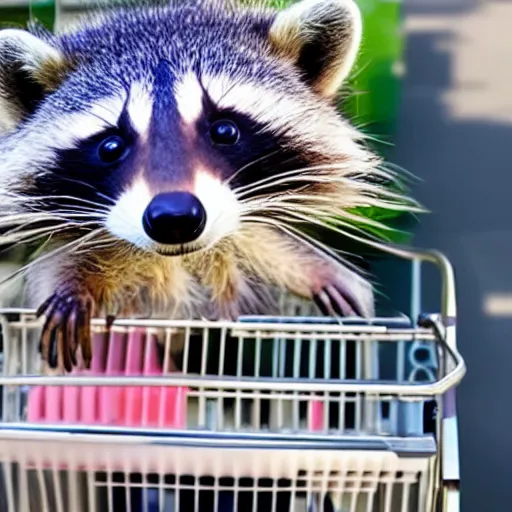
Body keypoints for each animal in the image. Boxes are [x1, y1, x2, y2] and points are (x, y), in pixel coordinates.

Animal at [0, 0, 418, 370]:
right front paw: (71, 283)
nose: (174, 218)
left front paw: (314, 268)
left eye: (225, 130)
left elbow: (266, 242)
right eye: (110, 146)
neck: (181, 258)